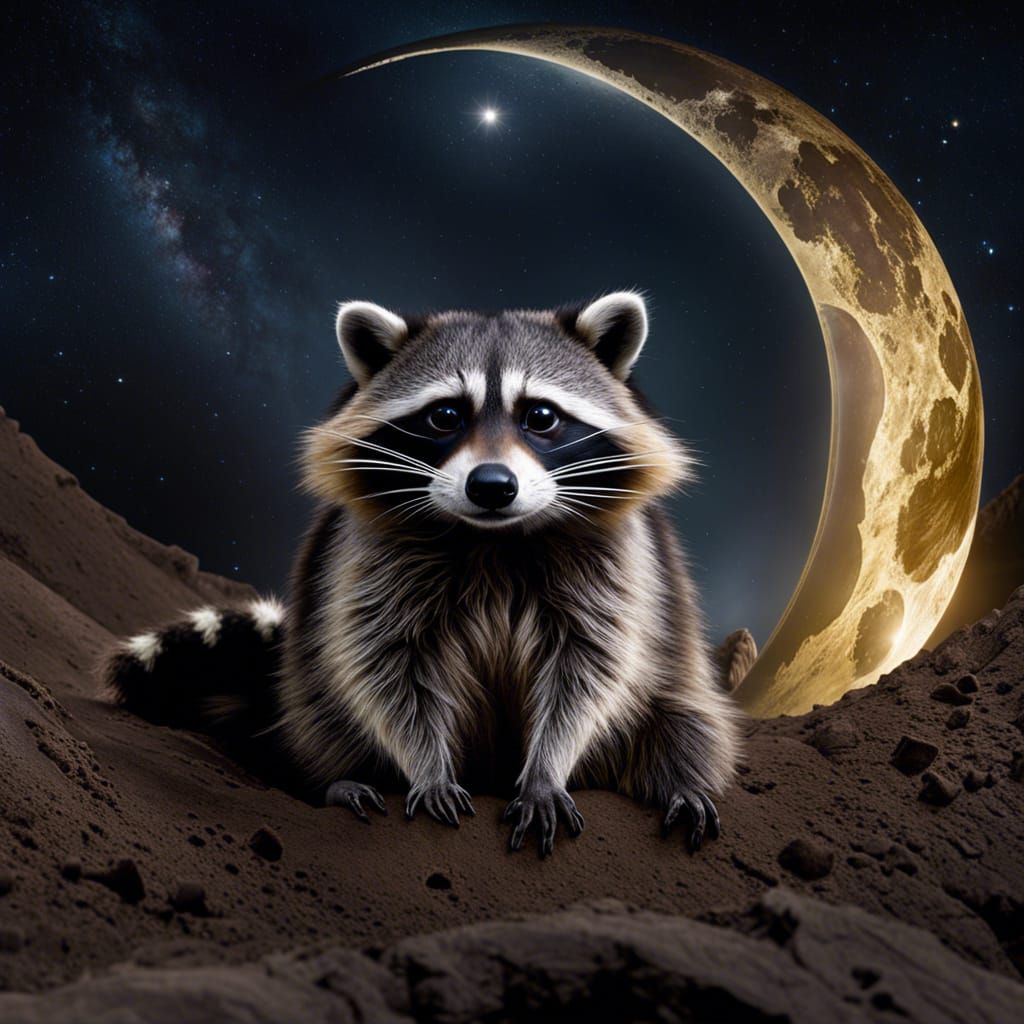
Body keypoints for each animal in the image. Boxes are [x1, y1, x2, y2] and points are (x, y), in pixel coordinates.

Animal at [103, 291, 739, 855]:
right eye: (444, 415)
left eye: (540, 416)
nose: (491, 486)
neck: (493, 541)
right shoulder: (367, 558)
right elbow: (387, 668)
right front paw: (427, 767)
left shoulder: (617, 562)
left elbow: (588, 668)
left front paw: (547, 768)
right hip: (309, 695)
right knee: (327, 718)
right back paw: (339, 779)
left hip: (676, 689)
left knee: (684, 726)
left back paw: (681, 786)